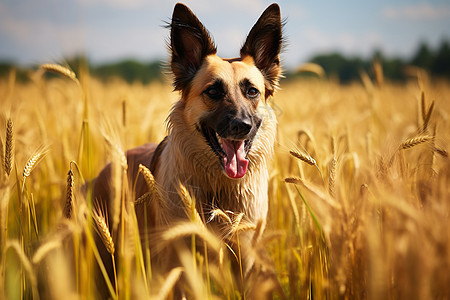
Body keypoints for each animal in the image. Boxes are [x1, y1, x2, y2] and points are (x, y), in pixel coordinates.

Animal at [93, 1, 284, 298]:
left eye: (252, 91)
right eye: (213, 91)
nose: (241, 126)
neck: (218, 189)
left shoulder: (245, 257)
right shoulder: (178, 262)